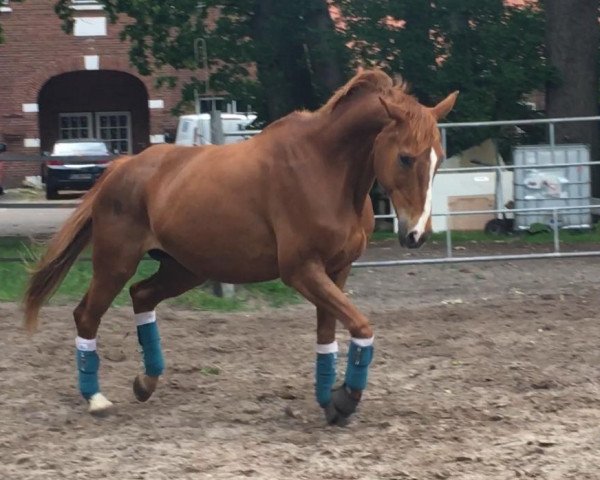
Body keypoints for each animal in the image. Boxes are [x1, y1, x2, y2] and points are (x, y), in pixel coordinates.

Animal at [22, 70, 454, 424]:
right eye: (405, 157)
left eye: (439, 159)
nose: (417, 234)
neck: (326, 169)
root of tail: (119, 167)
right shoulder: (302, 271)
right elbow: (361, 326)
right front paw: (345, 399)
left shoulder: (336, 271)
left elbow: (328, 337)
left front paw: (330, 401)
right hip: (116, 262)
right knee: (87, 315)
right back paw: (95, 398)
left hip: (184, 268)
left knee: (141, 295)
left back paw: (146, 382)